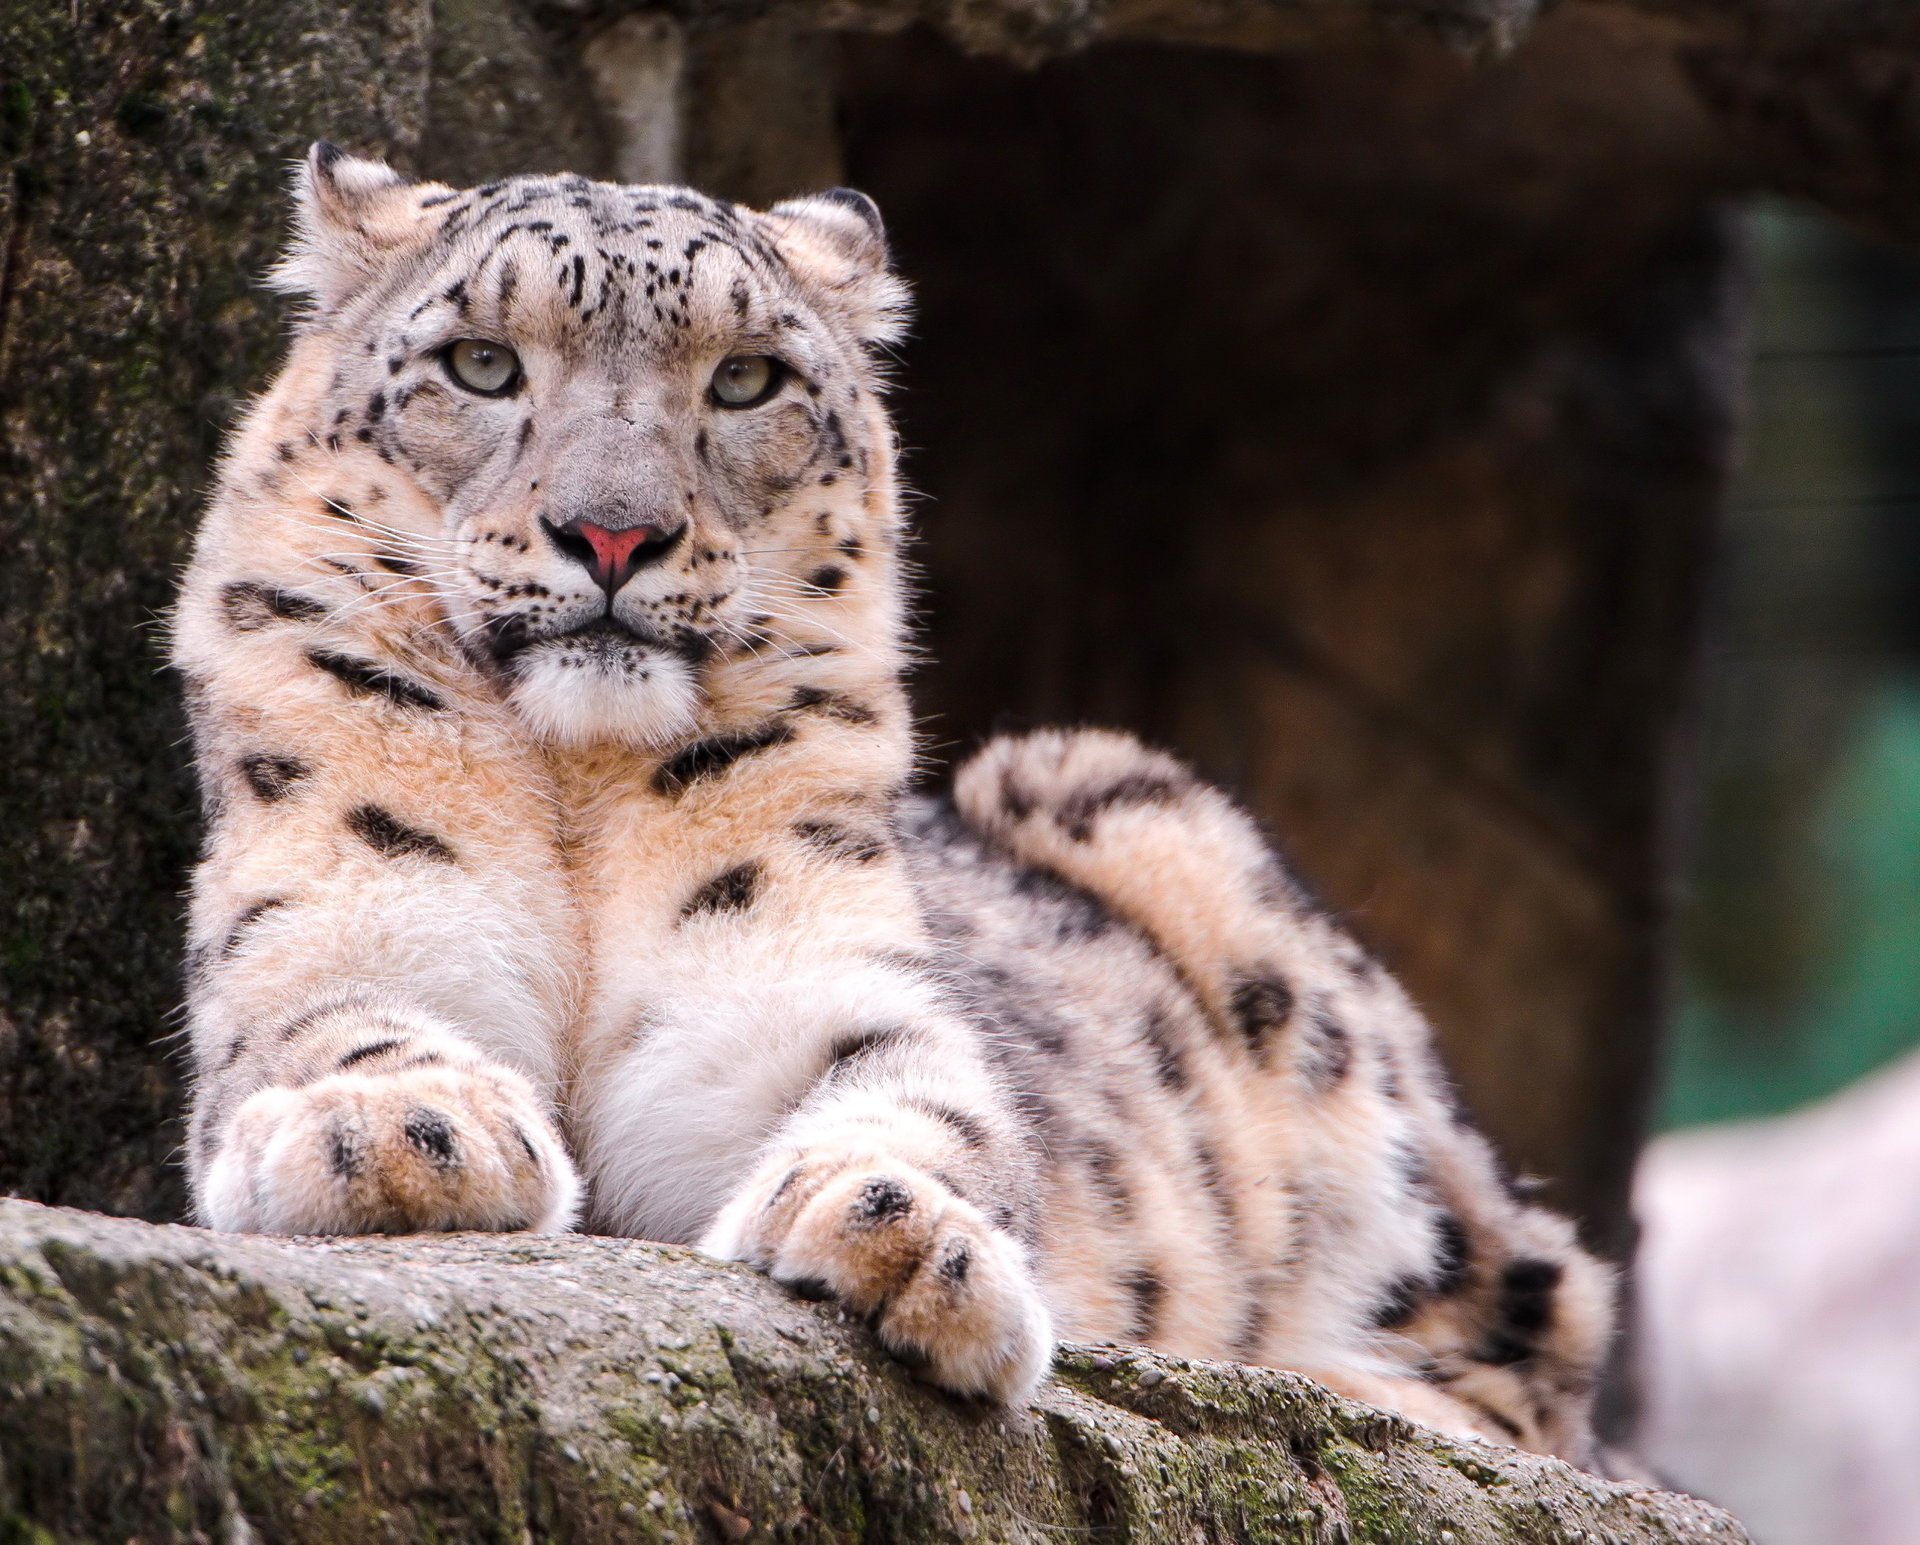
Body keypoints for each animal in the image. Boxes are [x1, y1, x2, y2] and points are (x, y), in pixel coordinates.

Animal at [171, 142, 1614, 1464]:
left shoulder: (828, 990)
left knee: (1544, 1337)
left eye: (744, 377)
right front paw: (392, 1134)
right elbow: (329, 1022)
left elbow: (922, 1103)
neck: (579, 796)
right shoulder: (331, 921)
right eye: (479, 363)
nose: (614, 534)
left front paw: (902, 1234)